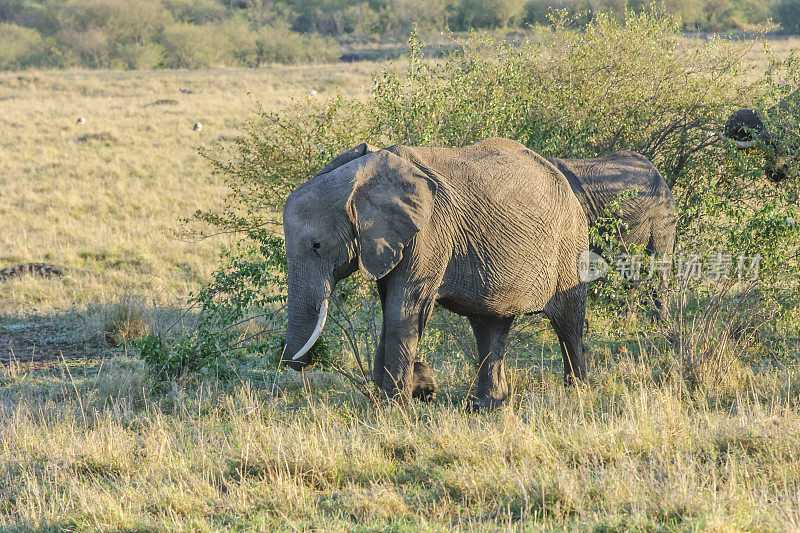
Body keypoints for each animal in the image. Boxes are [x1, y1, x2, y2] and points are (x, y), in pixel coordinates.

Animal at [280, 137, 588, 408]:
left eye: (317, 246)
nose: (296, 363)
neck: (366, 176)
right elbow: (390, 311)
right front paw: (417, 386)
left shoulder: (429, 230)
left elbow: (403, 311)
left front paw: (397, 406)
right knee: (490, 324)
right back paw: (487, 405)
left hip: (570, 242)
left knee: (568, 322)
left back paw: (576, 393)